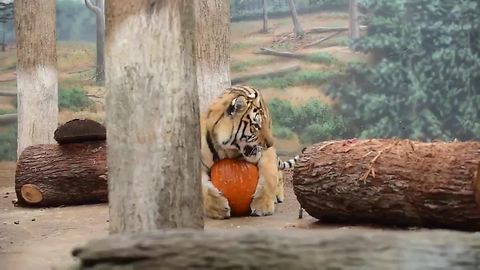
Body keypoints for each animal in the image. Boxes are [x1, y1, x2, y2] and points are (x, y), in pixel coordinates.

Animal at [202, 85, 300, 218]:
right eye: (256, 126)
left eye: (265, 124)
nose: (270, 144)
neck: (227, 150)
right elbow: (203, 189)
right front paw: (218, 209)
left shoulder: (266, 155)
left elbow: (269, 178)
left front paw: (263, 207)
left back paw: (278, 195)